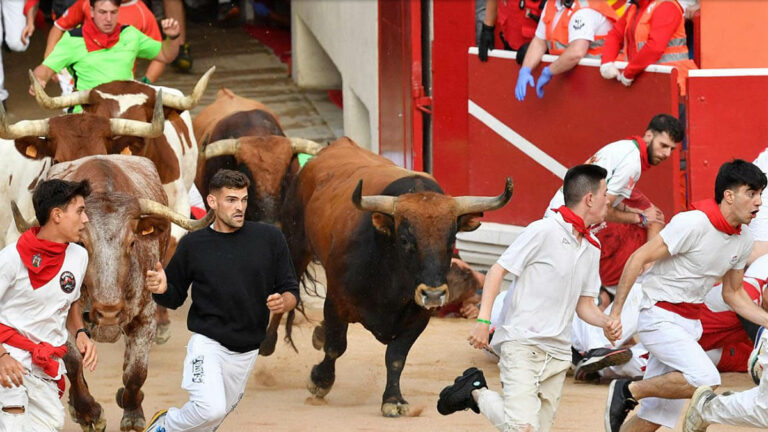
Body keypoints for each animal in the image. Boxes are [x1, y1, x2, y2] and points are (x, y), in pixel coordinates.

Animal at [280, 138, 512, 416]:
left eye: (451, 241)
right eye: (405, 240)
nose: (433, 294)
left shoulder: (419, 316)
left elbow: (396, 357)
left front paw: (393, 399)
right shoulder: (335, 301)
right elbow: (336, 346)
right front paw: (320, 381)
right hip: (295, 244)